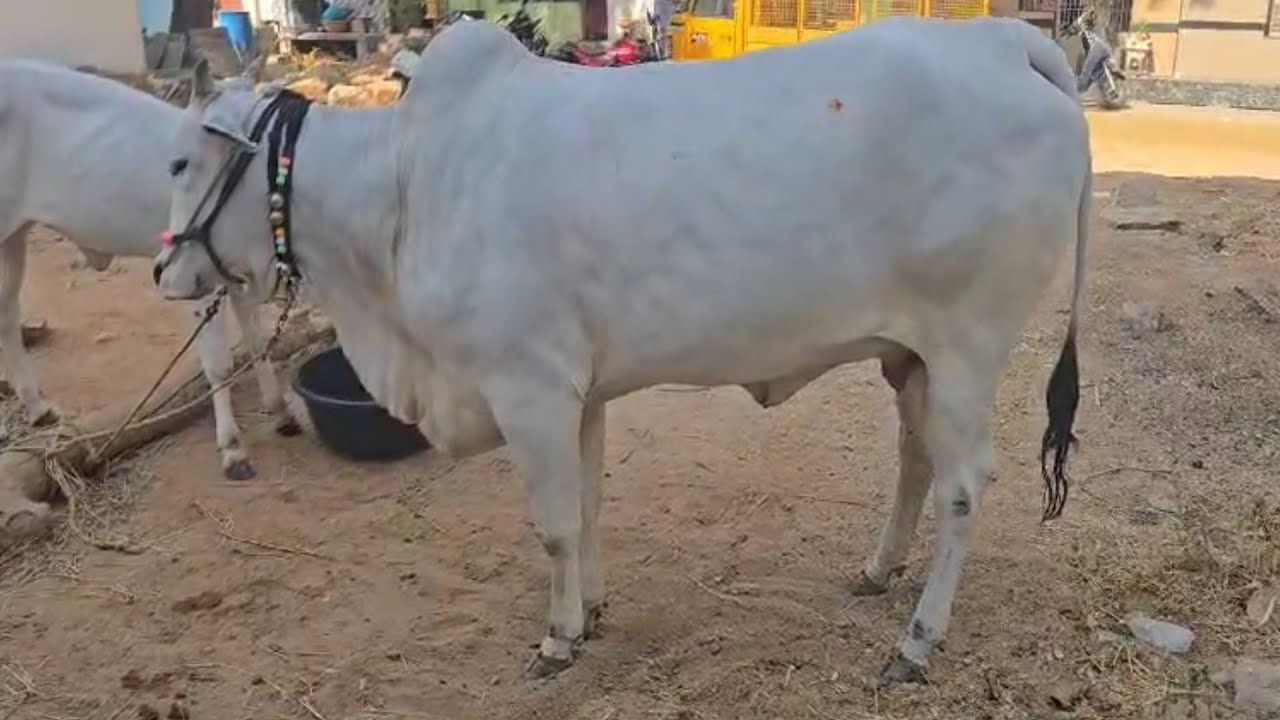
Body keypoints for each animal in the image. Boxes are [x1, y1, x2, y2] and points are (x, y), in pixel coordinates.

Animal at [0, 58, 300, 480]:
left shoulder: (231, 275)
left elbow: (258, 344)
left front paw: (280, 411)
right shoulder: (197, 280)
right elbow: (219, 363)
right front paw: (232, 448)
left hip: (13, 235)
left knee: (7, 316)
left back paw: (37, 407)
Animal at [153, 15, 1091, 683]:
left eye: (178, 164)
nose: (166, 268)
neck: (404, 191)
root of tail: (1004, 40)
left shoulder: (528, 390)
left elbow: (555, 525)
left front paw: (558, 640)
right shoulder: (581, 394)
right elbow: (589, 509)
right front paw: (592, 611)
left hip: (968, 346)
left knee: (963, 488)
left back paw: (917, 642)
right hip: (914, 356)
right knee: (915, 461)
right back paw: (877, 572)